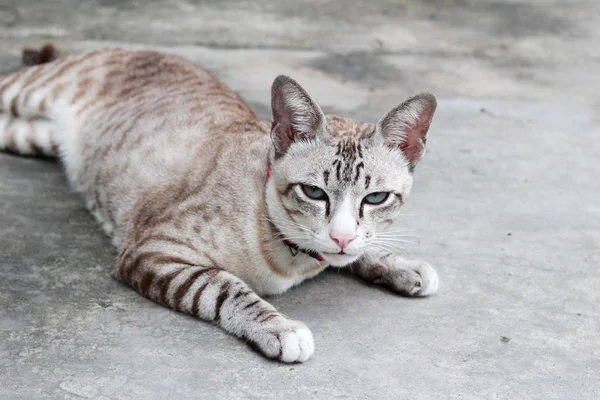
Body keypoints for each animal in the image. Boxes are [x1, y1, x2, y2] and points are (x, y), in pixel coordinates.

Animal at [1, 43, 440, 362]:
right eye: (314, 192)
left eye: (376, 197)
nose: (341, 237)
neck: (295, 261)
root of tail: (136, 46)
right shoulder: (154, 250)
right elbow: (225, 286)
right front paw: (279, 328)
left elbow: (363, 251)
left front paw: (400, 265)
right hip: (27, 92)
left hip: (29, 137)